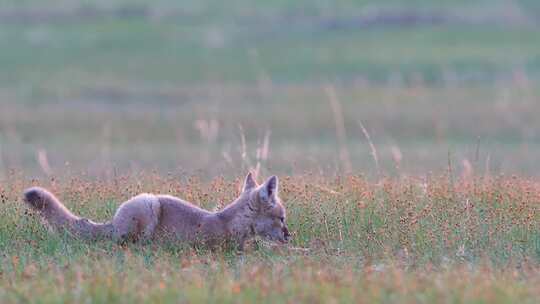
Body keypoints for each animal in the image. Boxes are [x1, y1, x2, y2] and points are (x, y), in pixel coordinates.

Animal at [23, 172, 288, 251]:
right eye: (282, 218)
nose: (290, 235)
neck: (229, 221)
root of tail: (111, 222)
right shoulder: (239, 250)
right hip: (148, 206)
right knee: (127, 244)